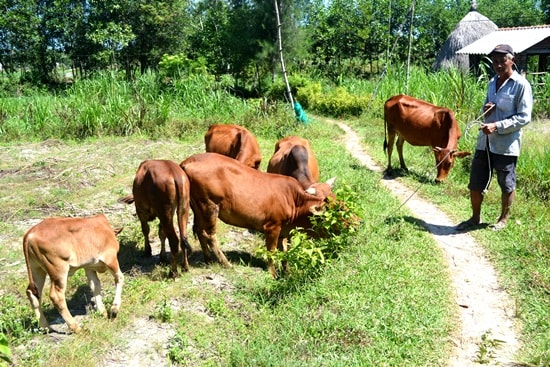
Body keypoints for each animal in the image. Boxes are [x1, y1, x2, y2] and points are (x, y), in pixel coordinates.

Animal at [181, 153, 336, 278]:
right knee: (209, 235)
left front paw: (287, 272)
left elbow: (285, 252)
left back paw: (208, 259)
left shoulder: (284, 231)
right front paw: (273, 274)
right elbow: (271, 252)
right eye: (331, 213)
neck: (294, 200)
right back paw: (226, 263)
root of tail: (188, 161)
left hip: (199, 209)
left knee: (200, 231)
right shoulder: (272, 227)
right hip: (209, 206)